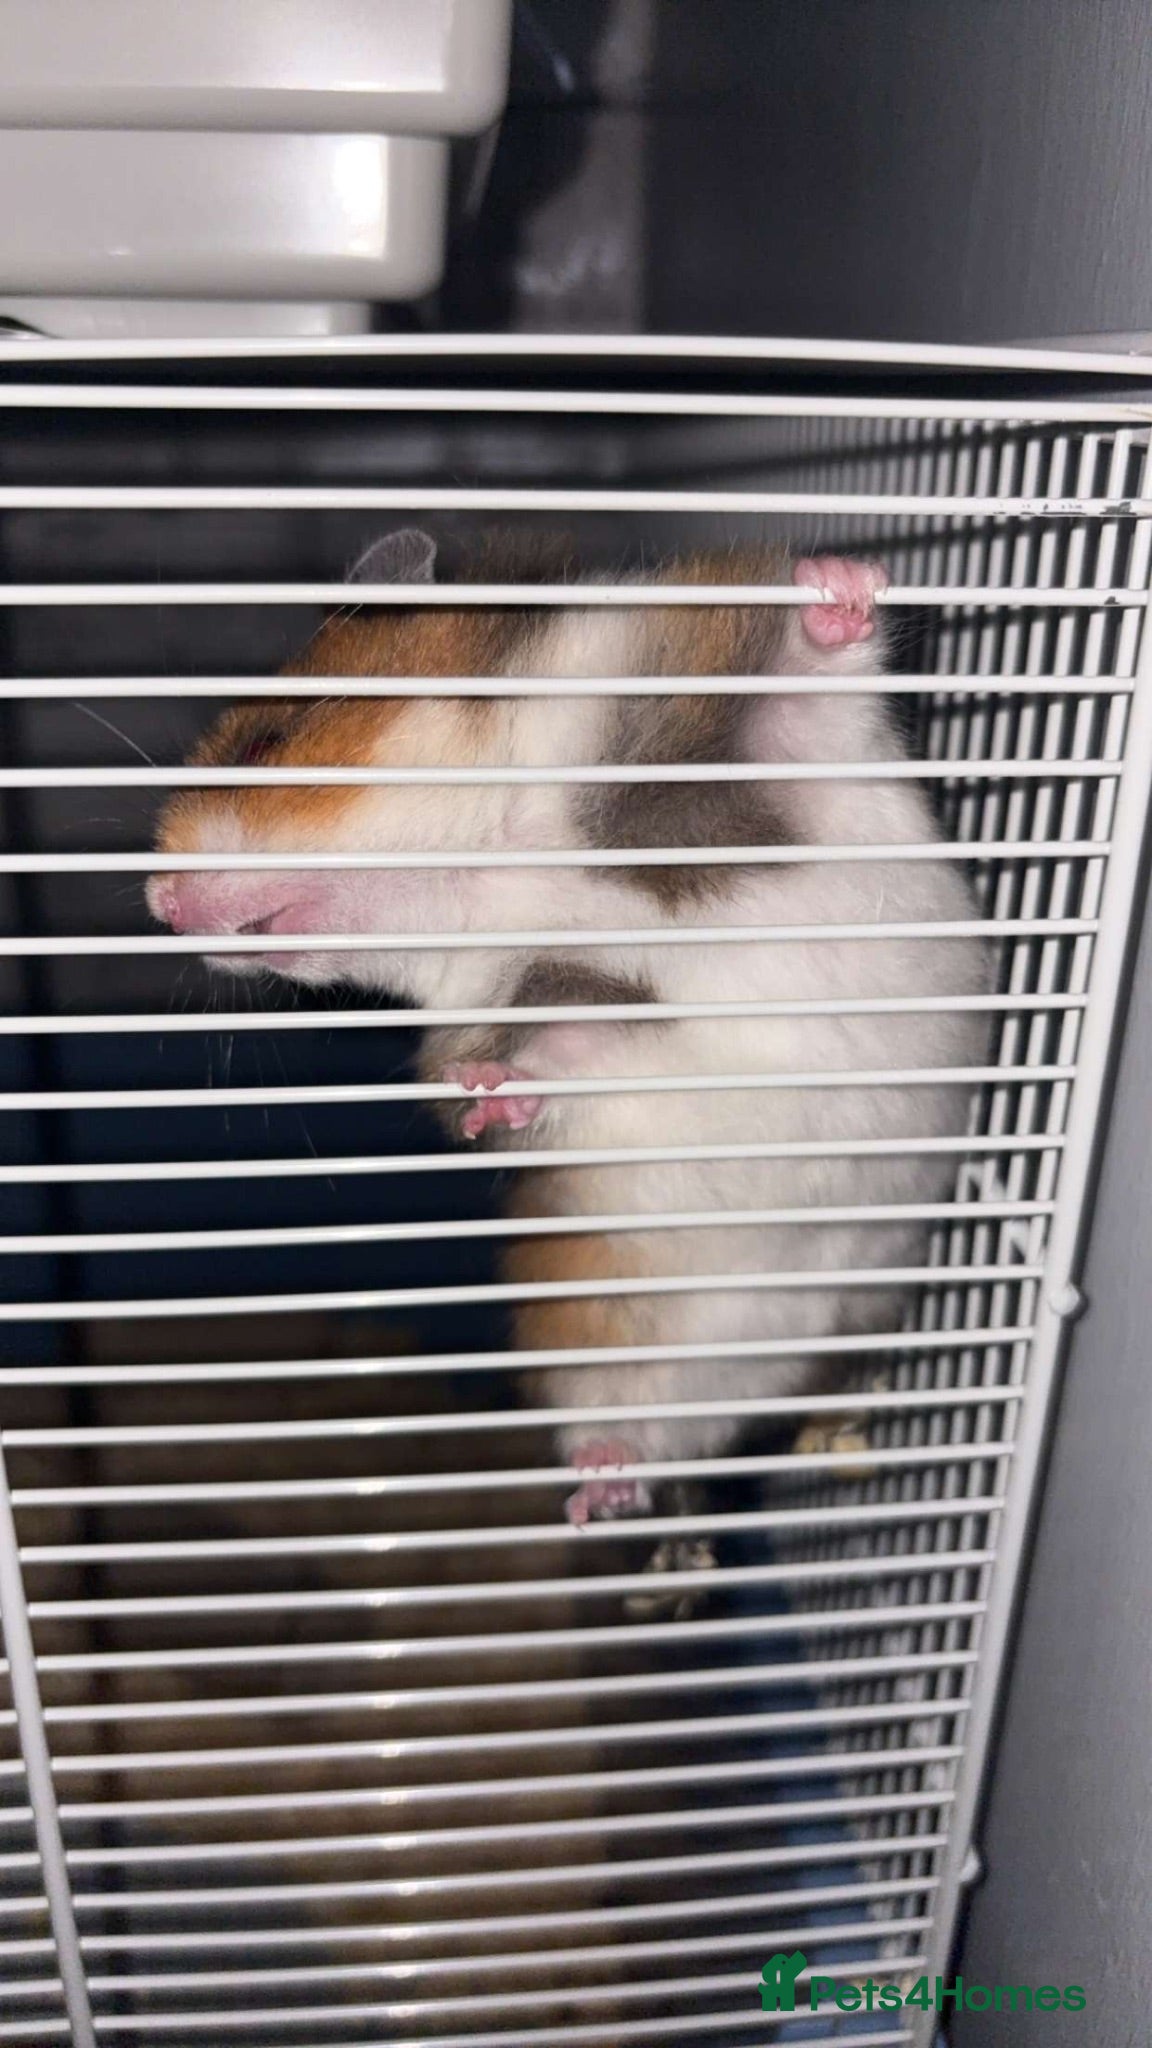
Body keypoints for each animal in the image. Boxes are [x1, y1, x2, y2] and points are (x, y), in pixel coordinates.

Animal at [147, 532, 988, 1526]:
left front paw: (840, 581)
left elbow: (808, 682)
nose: (157, 906)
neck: (504, 862)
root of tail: (813, 1337)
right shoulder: (542, 998)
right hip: (606, 1325)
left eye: (265, 740)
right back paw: (596, 1496)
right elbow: (544, 1057)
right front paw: (485, 1101)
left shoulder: (741, 745)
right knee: (644, 1427)